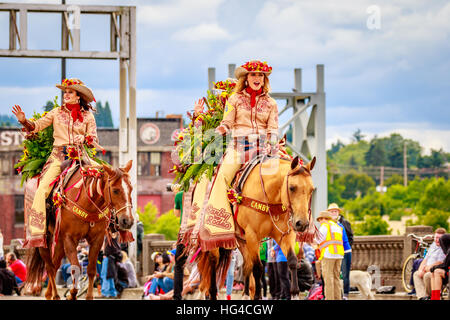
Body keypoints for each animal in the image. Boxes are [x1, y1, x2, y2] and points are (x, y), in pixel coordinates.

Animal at [25, 160, 134, 300]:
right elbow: (75, 268)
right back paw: (55, 295)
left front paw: (88, 296)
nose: (128, 220)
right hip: (43, 240)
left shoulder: (97, 239)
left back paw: (50, 294)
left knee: (55, 265)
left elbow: (91, 270)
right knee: (49, 267)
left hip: (58, 241)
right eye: (115, 190)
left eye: (131, 189)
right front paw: (72, 294)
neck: (87, 201)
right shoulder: (69, 238)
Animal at [197, 155, 316, 300]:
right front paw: (258, 295)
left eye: (311, 189)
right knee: (214, 261)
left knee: (247, 265)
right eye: (292, 187)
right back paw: (212, 292)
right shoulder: (252, 235)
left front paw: (294, 294)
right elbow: (258, 268)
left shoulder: (285, 235)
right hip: (217, 240)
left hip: (243, 241)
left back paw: (246, 294)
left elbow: (293, 261)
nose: (302, 223)